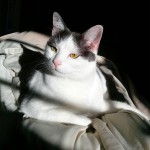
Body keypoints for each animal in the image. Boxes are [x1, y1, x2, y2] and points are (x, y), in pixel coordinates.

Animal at [18, 11, 149, 125]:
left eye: (73, 55)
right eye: (53, 49)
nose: (56, 62)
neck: (73, 82)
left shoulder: (106, 104)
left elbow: (130, 108)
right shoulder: (32, 105)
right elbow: (78, 118)